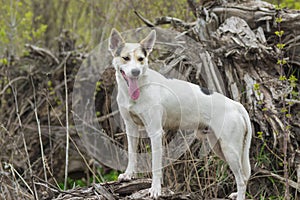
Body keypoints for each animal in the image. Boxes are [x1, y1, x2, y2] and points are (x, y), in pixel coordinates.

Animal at [108, 28, 251, 200]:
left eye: (141, 59)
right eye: (126, 58)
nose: (135, 72)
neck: (140, 88)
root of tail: (236, 105)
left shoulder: (156, 133)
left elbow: (156, 166)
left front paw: (155, 189)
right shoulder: (131, 128)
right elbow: (132, 154)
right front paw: (129, 175)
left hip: (230, 149)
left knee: (241, 179)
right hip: (219, 147)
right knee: (243, 177)